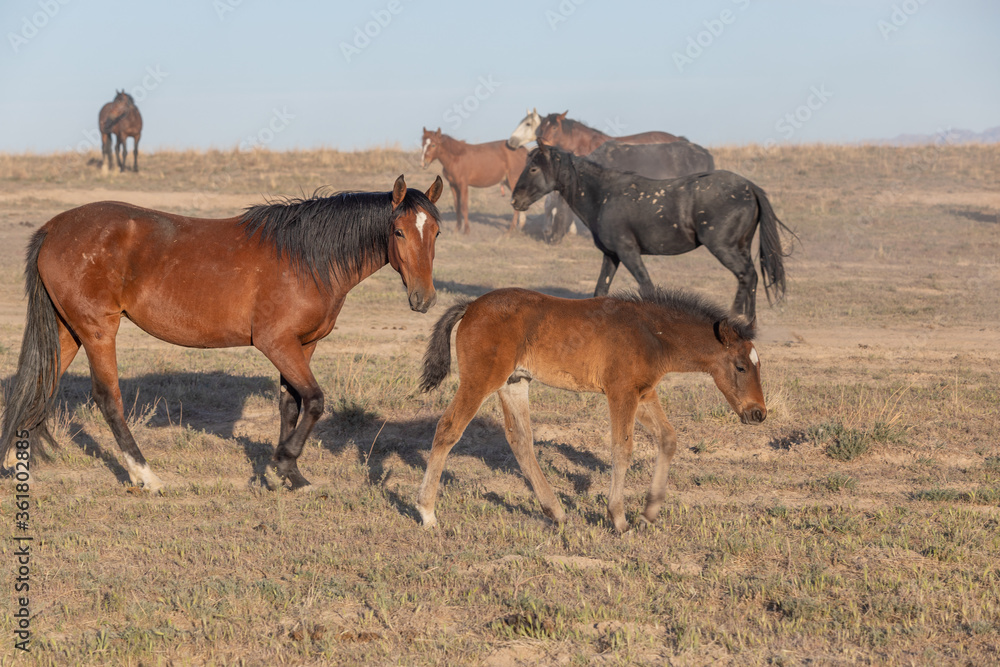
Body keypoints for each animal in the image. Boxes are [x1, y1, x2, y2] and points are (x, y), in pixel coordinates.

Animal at [0, 175, 444, 493]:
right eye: (399, 232)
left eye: (437, 232)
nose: (423, 298)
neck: (305, 258)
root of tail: (54, 227)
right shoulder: (276, 344)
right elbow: (315, 402)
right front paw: (285, 462)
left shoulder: (302, 346)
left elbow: (291, 406)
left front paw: (289, 474)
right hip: (97, 331)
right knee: (109, 400)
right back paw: (146, 475)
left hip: (68, 332)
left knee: (36, 385)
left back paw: (16, 464)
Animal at [416, 286, 766, 533]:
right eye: (740, 366)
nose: (758, 413)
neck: (651, 333)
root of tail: (471, 307)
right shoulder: (621, 393)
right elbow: (622, 449)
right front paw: (619, 519)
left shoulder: (643, 393)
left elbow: (668, 439)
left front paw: (649, 512)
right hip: (481, 380)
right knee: (448, 428)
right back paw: (427, 512)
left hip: (514, 382)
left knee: (520, 441)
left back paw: (556, 512)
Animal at [511, 144, 792, 322]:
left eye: (534, 168)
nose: (515, 200)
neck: (604, 195)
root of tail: (750, 187)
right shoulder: (612, 256)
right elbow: (600, 291)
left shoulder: (628, 252)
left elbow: (647, 289)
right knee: (751, 278)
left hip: (725, 248)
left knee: (747, 276)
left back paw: (737, 318)